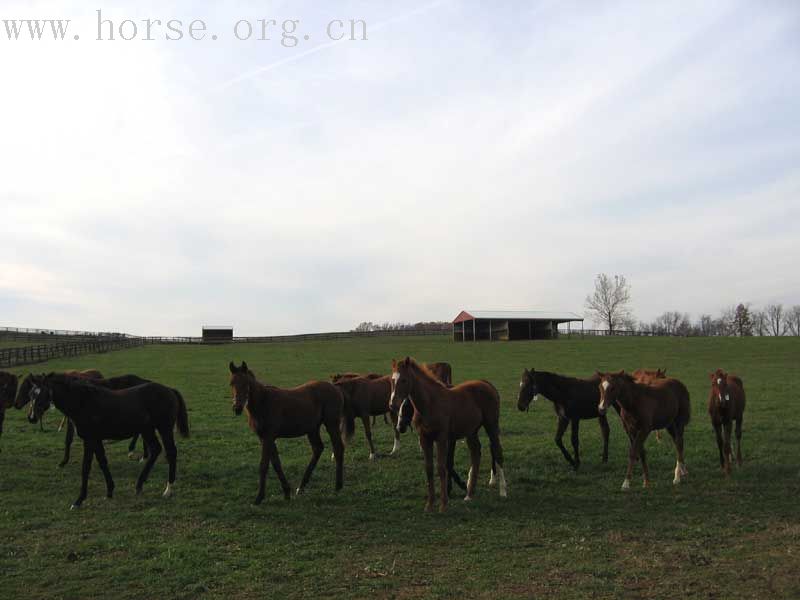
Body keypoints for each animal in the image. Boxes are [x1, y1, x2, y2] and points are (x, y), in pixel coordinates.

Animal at [228, 364, 346, 504]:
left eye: (246, 383)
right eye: (231, 383)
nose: (237, 408)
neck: (263, 402)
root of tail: (335, 388)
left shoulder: (268, 437)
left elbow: (264, 465)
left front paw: (259, 498)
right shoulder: (264, 438)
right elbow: (276, 463)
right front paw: (286, 492)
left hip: (331, 424)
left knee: (338, 448)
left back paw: (338, 486)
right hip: (312, 429)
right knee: (318, 448)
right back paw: (301, 487)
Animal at [390, 358, 506, 512]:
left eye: (404, 380)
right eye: (392, 380)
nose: (392, 404)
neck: (430, 404)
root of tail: (488, 385)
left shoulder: (442, 438)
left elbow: (442, 467)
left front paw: (443, 504)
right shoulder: (425, 439)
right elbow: (429, 468)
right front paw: (429, 504)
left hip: (491, 425)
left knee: (497, 452)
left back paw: (503, 491)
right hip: (471, 431)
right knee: (475, 453)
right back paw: (469, 494)